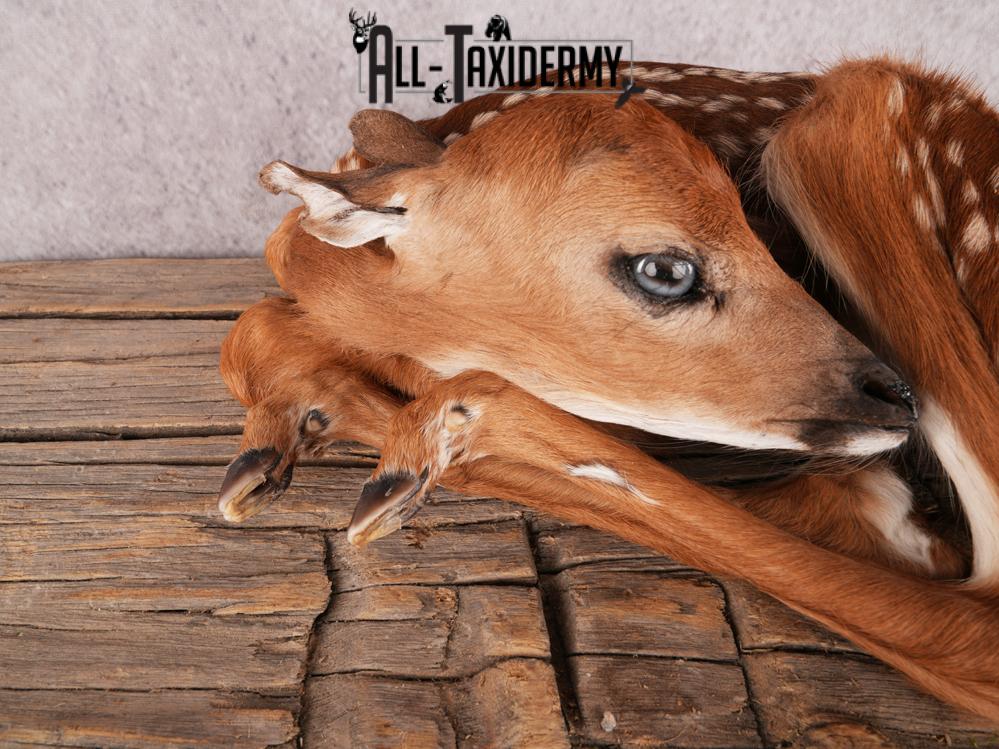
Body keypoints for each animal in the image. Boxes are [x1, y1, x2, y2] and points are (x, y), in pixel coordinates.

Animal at [216, 58, 999, 722]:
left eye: (758, 234)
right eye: (665, 270)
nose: (894, 394)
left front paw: (397, 446)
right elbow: (252, 329)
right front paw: (272, 451)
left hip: (849, 122)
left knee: (973, 624)